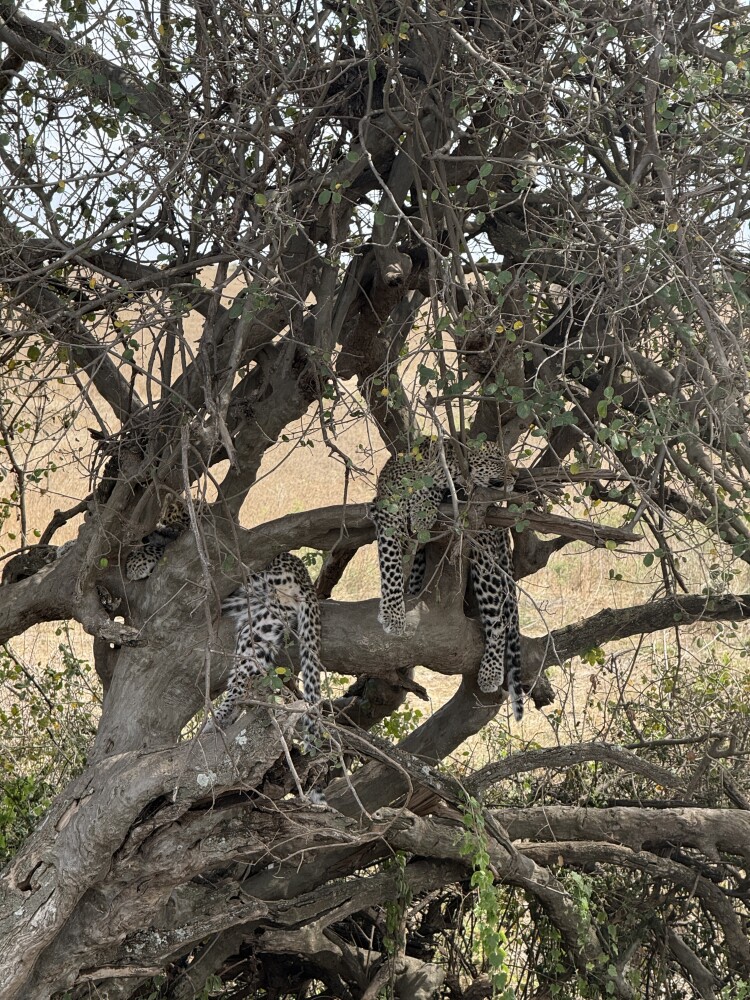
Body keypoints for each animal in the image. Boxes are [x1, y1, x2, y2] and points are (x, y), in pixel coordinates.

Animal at [369, 438, 524, 720]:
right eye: (497, 459)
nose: (517, 475)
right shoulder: (387, 512)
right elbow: (391, 566)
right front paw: (394, 614)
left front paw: (423, 510)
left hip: (483, 555)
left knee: (499, 620)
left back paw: (490, 673)